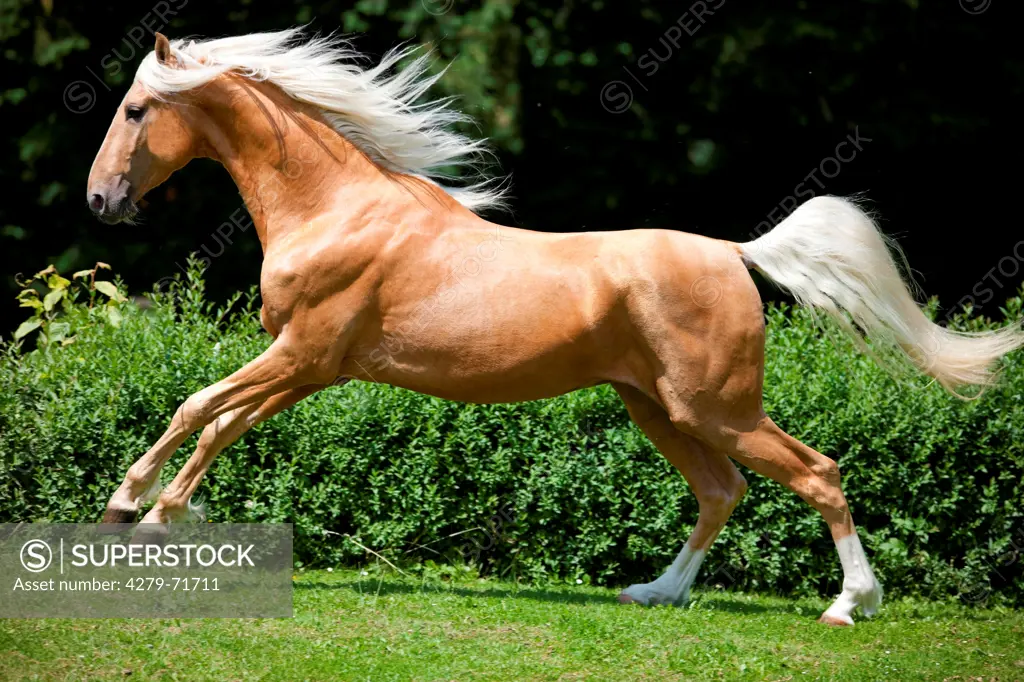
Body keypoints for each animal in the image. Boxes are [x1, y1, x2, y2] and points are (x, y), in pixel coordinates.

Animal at [86, 29, 1024, 622]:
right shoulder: (311, 365)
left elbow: (197, 406)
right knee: (722, 490)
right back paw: (657, 594)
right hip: (660, 408)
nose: (100, 200)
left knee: (817, 473)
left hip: (718, 407)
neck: (338, 209)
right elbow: (222, 424)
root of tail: (735, 251)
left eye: (134, 111)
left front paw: (129, 505)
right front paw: (162, 518)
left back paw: (847, 605)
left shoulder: (302, 352)